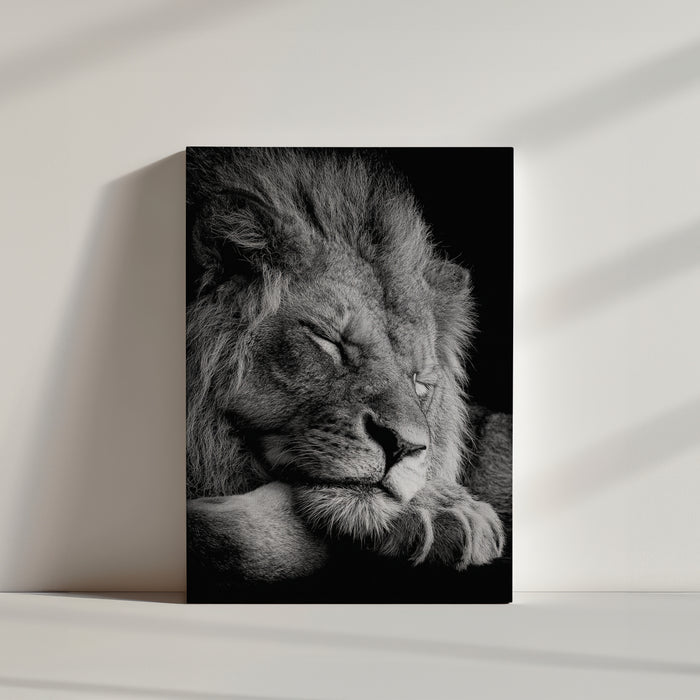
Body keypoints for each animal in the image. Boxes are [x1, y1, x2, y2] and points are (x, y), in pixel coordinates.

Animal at [185, 147, 511, 596]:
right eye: (329, 342)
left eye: (419, 383)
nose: (402, 447)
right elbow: (233, 537)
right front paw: (444, 508)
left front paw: (441, 505)